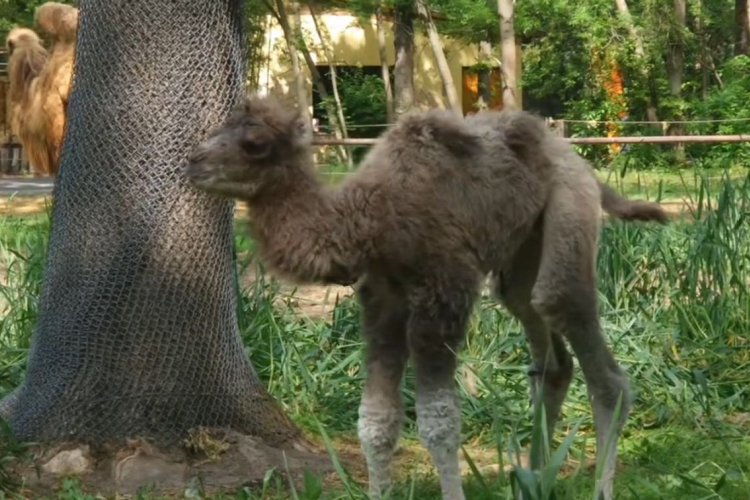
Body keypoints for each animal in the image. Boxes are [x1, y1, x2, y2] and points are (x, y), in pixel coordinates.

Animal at [188, 95, 668, 498]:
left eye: (255, 144)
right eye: (218, 128)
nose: (193, 161)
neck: (371, 219)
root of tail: (579, 162)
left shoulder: (444, 294)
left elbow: (440, 421)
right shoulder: (382, 300)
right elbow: (376, 420)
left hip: (570, 210)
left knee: (583, 339)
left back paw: (599, 486)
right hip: (522, 251)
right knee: (544, 344)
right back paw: (533, 479)